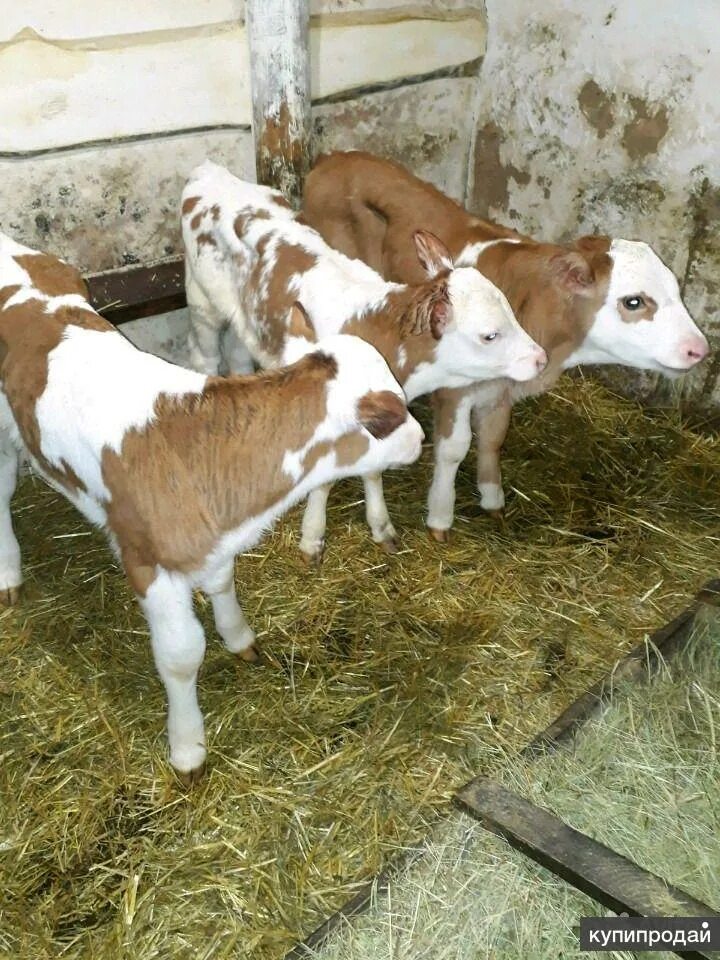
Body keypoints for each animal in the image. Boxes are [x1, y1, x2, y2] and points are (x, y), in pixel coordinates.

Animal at [0, 232, 424, 780]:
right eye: (393, 416)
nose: (421, 438)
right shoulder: (148, 562)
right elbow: (182, 655)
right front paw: (187, 749)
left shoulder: (216, 539)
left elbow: (222, 583)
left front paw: (239, 637)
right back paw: (9, 573)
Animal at [180, 161, 544, 560]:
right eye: (489, 335)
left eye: (511, 310)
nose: (540, 358)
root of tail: (209, 173)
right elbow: (323, 480)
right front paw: (312, 538)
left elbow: (373, 468)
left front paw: (381, 527)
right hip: (201, 302)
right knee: (205, 356)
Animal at [302, 152, 708, 540]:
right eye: (634, 301)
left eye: (675, 290)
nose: (699, 349)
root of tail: (333, 158)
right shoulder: (455, 388)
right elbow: (454, 448)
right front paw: (440, 516)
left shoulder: (502, 388)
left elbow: (493, 439)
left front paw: (492, 499)